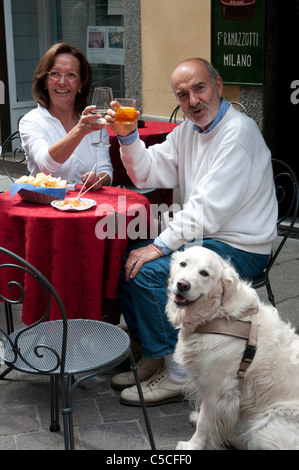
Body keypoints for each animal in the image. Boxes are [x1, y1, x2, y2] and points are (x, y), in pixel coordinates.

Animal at [166, 244, 299, 450]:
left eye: (204, 273)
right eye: (183, 264)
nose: (182, 284)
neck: (217, 314)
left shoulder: (217, 388)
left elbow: (206, 420)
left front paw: (193, 445)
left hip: (267, 424)